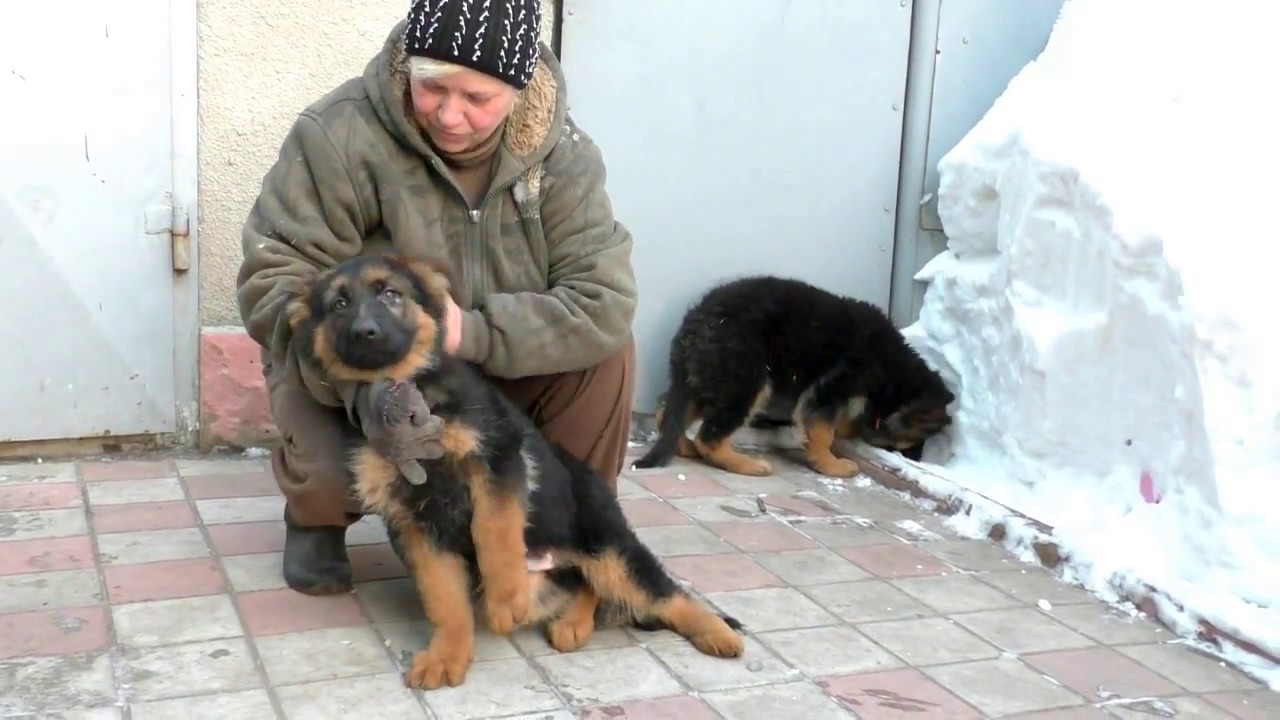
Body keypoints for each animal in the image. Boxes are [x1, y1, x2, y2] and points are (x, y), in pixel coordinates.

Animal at [280, 253, 742, 691]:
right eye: (339, 305)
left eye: (390, 294)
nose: (365, 332)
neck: (412, 389)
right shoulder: (415, 524)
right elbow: (443, 596)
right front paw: (447, 655)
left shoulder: (499, 459)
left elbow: (493, 531)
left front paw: (504, 601)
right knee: (586, 585)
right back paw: (573, 622)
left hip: (607, 547)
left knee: (662, 592)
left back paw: (718, 634)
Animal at [634, 274, 957, 476]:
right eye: (915, 440)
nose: (916, 459)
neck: (893, 374)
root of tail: (695, 322)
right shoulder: (830, 389)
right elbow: (823, 432)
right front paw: (831, 465)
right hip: (746, 382)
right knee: (709, 436)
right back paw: (747, 465)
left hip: (710, 380)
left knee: (666, 416)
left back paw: (685, 447)